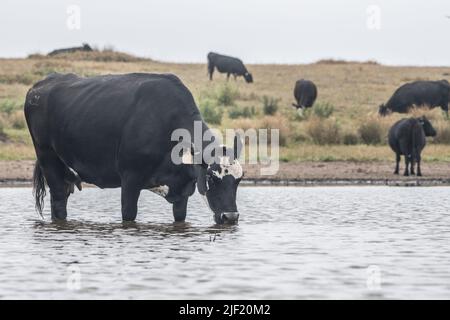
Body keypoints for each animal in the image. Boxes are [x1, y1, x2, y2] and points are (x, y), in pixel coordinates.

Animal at [24, 72, 243, 225]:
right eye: (211, 178)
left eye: (239, 180)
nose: (231, 217)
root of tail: (39, 87)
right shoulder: (130, 179)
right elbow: (129, 214)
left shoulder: (182, 192)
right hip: (47, 157)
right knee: (59, 200)